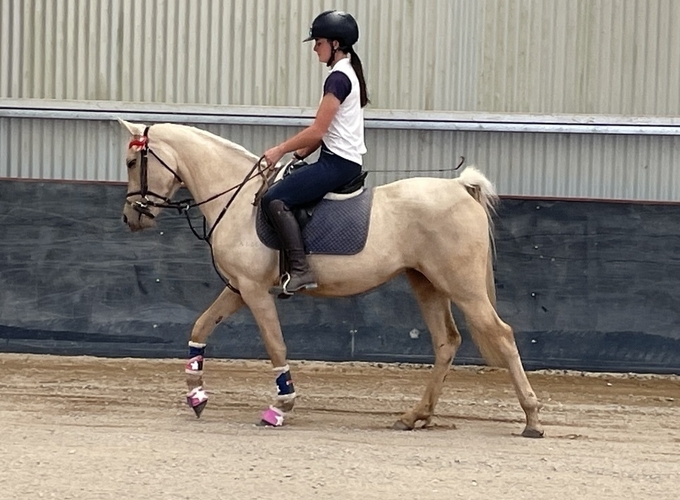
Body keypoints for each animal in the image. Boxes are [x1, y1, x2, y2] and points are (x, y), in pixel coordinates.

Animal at [117, 118, 544, 438]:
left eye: (130, 162)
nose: (130, 218)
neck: (235, 199)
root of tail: (459, 186)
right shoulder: (238, 287)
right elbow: (201, 326)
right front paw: (196, 396)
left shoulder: (254, 290)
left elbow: (275, 345)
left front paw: (280, 407)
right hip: (426, 282)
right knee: (446, 342)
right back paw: (415, 416)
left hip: (462, 286)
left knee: (501, 335)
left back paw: (532, 418)